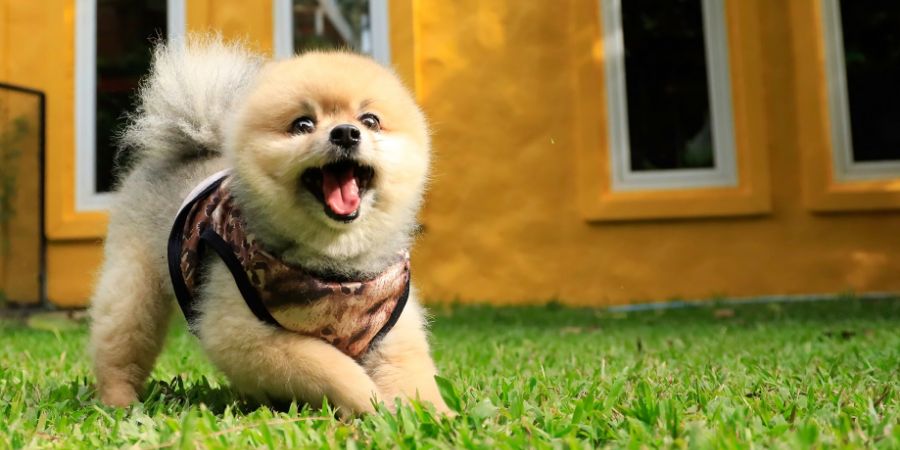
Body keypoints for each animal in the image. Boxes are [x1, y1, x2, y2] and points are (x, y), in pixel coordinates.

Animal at [88, 37, 446, 416]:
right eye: (303, 124)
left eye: (370, 120)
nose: (346, 133)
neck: (336, 268)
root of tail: (193, 147)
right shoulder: (243, 333)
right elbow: (329, 365)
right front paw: (369, 401)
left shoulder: (391, 330)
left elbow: (414, 379)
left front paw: (439, 416)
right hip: (133, 291)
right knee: (119, 348)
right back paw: (120, 403)